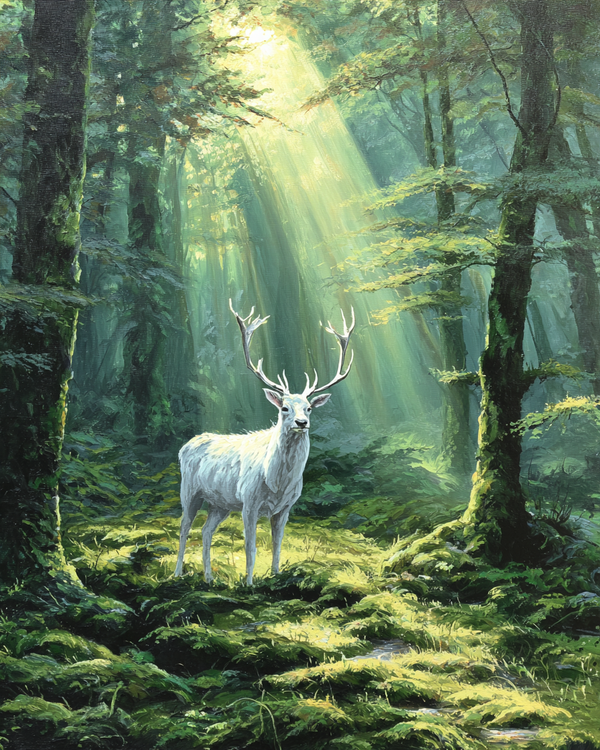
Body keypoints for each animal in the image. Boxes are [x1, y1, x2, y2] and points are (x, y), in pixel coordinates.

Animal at [174, 299, 355, 585]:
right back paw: (178, 573)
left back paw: (209, 578)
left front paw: (276, 576)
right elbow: (250, 546)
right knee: (183, 528)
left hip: (220, 503)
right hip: (190, 490)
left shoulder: (286, 507)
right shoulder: (249, 501)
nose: (301, 423)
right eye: (284, 408)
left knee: (205, 531)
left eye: (309, 408)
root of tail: (185, 445)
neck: (277, 483)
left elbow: (277, 544)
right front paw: (248, 584)